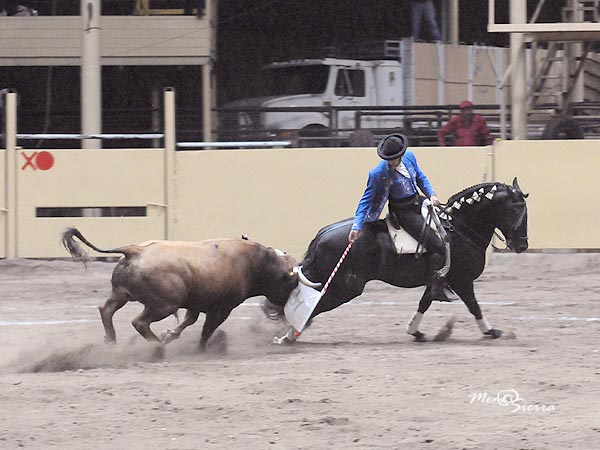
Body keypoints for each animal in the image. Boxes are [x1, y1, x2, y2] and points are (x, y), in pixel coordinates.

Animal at [62, 227, 318, 350]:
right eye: (291, 282)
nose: (283, 311)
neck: (255, 263)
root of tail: (135, 250)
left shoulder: (195, 303)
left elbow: (188, 321)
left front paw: (170, 334)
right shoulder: (221, 309)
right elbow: (206, 330)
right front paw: (199, 348)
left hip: (121, 294)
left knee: (105, 309)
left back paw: (112, 340)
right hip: (163, 305)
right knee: (139, 322)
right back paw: (156, 346)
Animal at [270, 176, 528, 342]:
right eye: (517, 210)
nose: (522, 245)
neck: (459, 229)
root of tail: (321, 235)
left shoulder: (438, 281)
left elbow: (425, 302)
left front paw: (415, 331)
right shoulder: (462, 281)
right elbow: (474, 306)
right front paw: (491, 331)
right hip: (344, 288)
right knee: (314, 304)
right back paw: (290, 335)